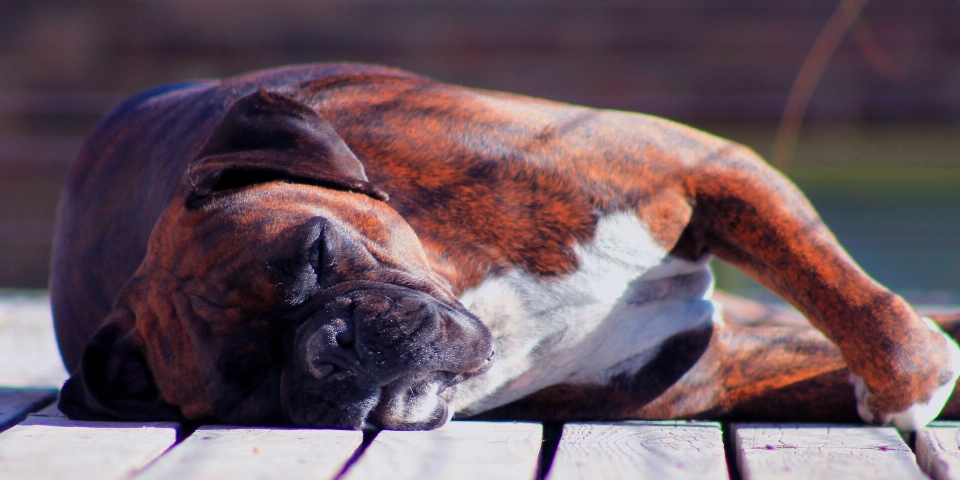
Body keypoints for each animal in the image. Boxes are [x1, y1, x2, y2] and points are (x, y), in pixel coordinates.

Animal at [50, 62, 960, 432]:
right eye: (246, 386)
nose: (328, 350)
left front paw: (912, 384)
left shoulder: (706, 165)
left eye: (314, 252)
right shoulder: (726, 365)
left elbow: (850, 298)